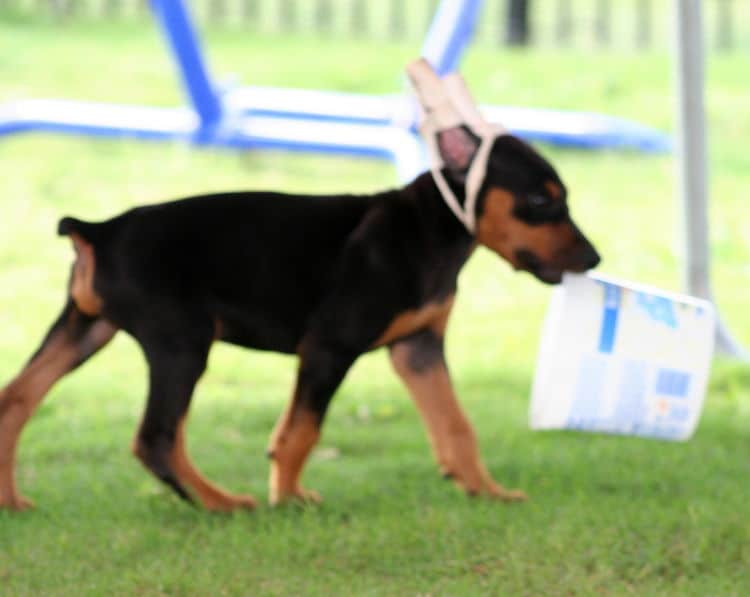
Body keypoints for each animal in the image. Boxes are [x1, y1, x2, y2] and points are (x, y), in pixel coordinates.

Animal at [0, 61, 600, 512]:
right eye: (542, 200)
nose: (593, 259)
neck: (429, 230)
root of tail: (98, 230)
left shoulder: (419, 349)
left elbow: (456, 425)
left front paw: (486, 490)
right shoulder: (329, 348)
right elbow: (300, 432)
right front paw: (286, 498)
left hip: (83, 329)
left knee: (16, 401)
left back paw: (12, 502)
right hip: (182, 343)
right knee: (157, 439)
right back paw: (221, 504)